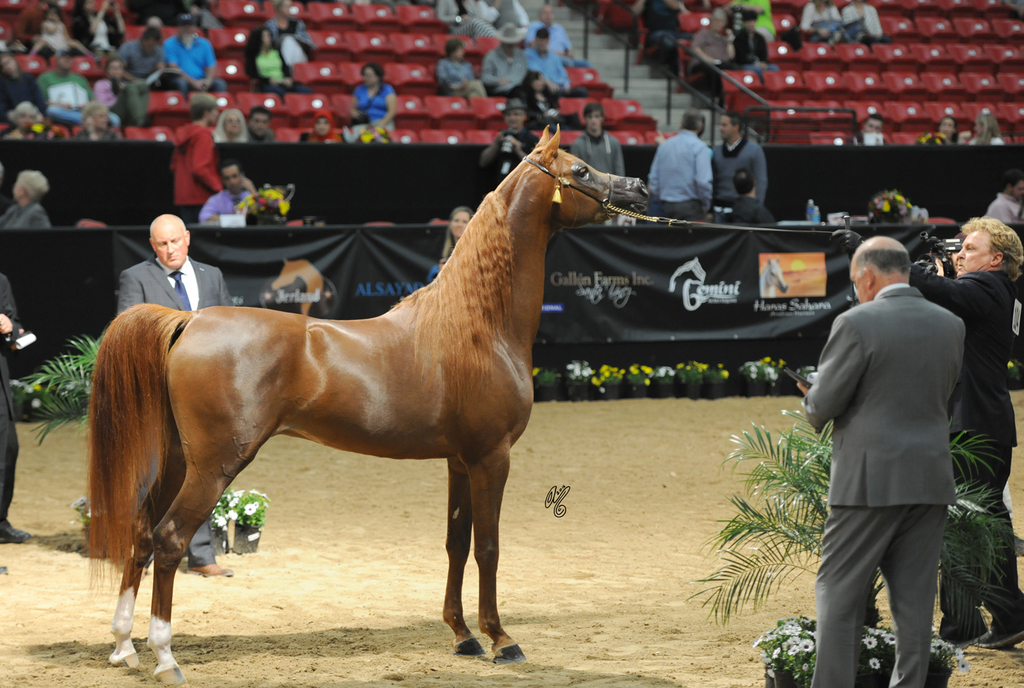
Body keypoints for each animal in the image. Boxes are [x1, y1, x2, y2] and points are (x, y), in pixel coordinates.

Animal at [87, 128, 650, 684]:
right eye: (580, 170)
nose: (640, 188)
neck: (478, 326)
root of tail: (190, 321)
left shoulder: (459, 461)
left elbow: (457, 543)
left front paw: (463, 636)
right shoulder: (492, 457)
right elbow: (489, 547)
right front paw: (501, 639)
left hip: (177, 461)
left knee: (141, 533)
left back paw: (124, 647)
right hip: (214, 466)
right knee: (169, 539)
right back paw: (165, 657)